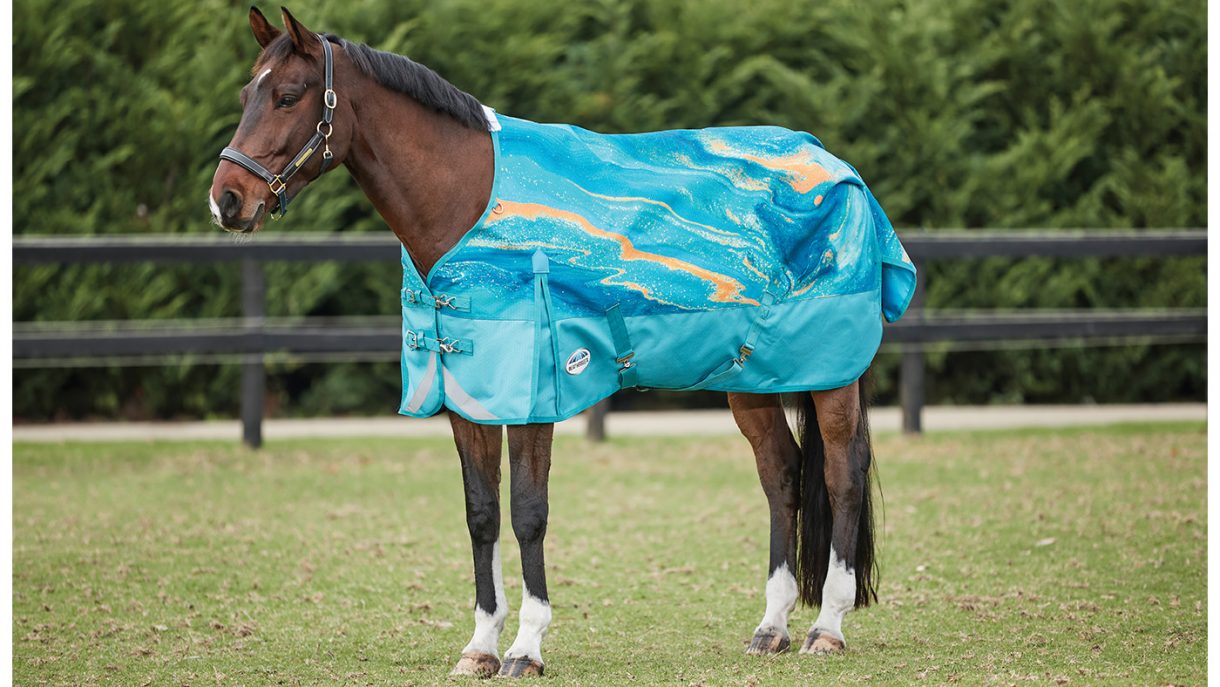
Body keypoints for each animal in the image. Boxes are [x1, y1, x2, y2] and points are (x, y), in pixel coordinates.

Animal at [210, 7, 915, 678]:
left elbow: (528, 512)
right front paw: (479, 647)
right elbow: (482, 513)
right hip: (750, 379)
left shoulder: (532, 398)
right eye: (247, 92)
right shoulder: (469, 398)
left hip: (830, 375)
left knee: (842, 474)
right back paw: (771, 627)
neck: (468, 205)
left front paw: (526, 647)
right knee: (782, 476)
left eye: (289, 96)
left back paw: (827, 628)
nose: (227, 200)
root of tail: (835, 166)